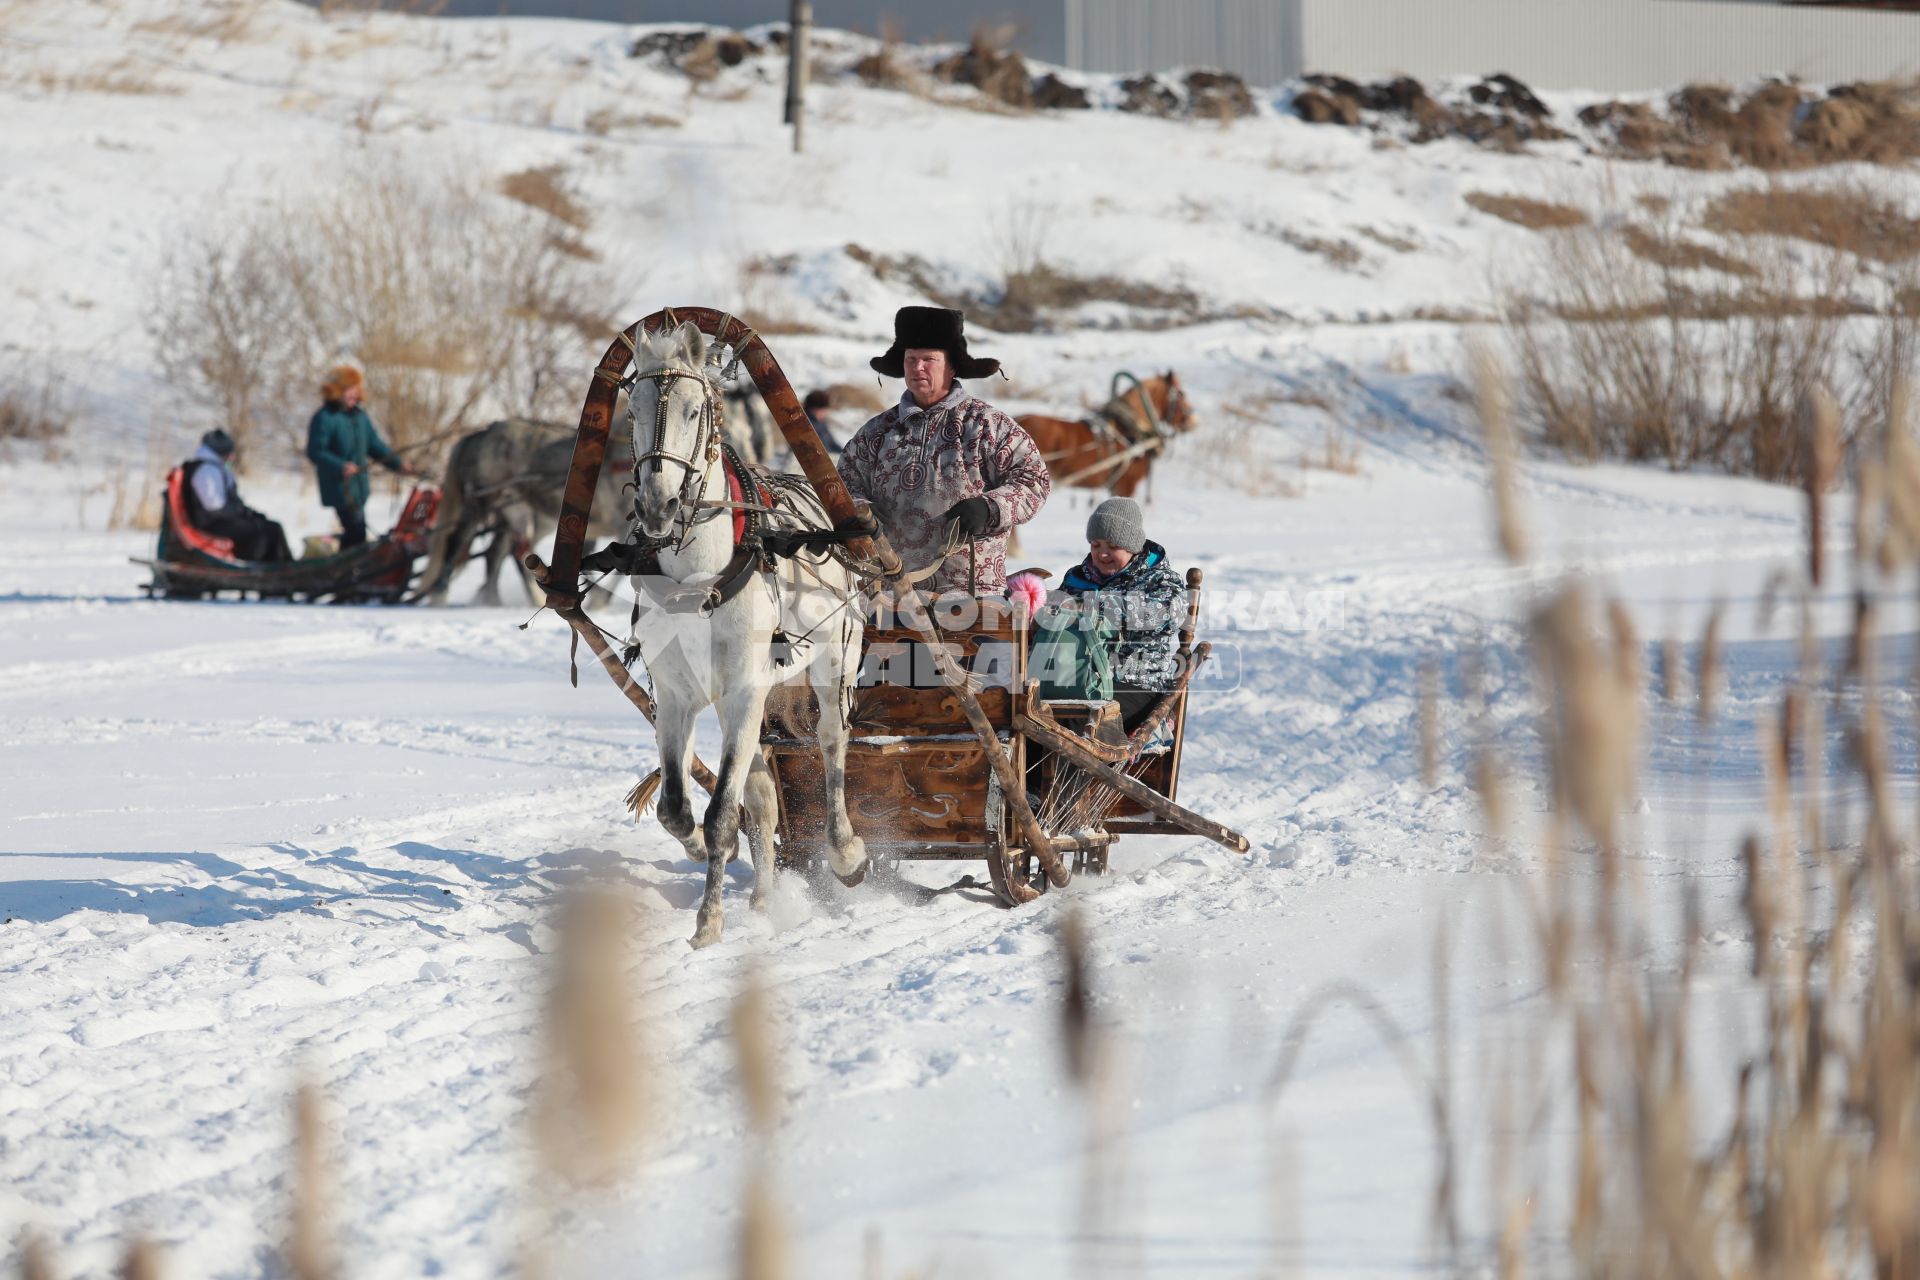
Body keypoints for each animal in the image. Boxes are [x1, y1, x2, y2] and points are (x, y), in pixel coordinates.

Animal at [618, 322, 867, 951]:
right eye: (632, 409)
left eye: (694, 409)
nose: (659, 505)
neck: (697, 578)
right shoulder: (676, 697)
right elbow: (678, 809)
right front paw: (705, 854)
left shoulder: (742, 690)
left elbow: (722, 812)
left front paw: (708, 924)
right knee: (763, 791)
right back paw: (761, 895)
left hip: (833, 659)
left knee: (832, 743)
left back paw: (846, 852)